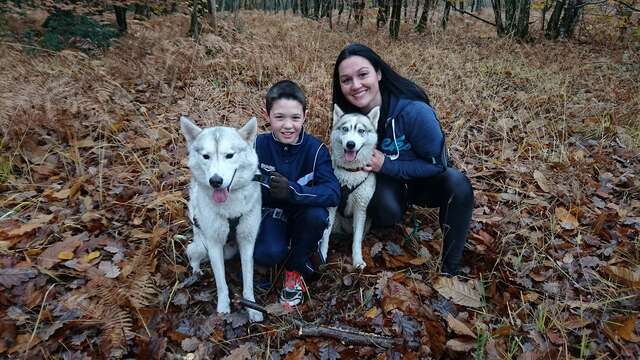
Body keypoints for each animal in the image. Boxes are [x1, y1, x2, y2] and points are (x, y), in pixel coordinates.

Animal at [180, 116, 262, 322]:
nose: (215, 181)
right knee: (192, 255)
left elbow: (248, 279)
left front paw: (252, 307)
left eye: (229, 155)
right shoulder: (214, 244)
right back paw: (196, 272)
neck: (230, 210)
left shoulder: (247, 241)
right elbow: (221, 282)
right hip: (201, 246)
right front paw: (223, 308)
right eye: (206, 156)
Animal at [320, 105, 380, 268]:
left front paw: (357, 259)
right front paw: (321, 255)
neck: (350, 173)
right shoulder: (331, 207)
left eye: (361, 130)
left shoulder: (361, 208)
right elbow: (325, 235)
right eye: (345, 129)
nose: (350, 144)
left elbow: (357, 239)